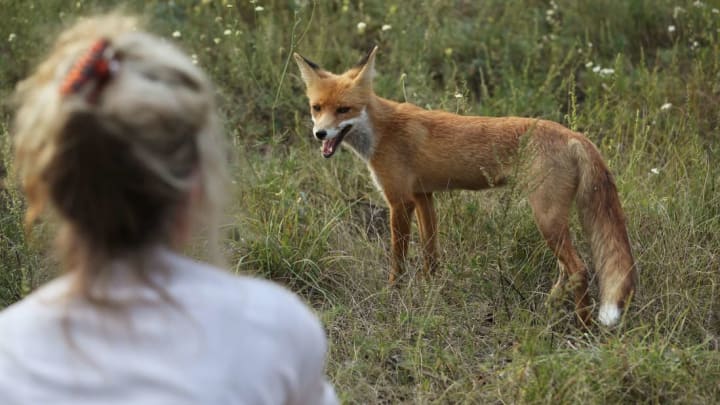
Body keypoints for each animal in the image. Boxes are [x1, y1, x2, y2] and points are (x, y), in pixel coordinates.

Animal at [292, 46, 636, 326]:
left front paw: (393, 295)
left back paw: (583, 326)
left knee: (579, 270)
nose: (320, 134)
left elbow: (398, 260)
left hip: (546, 218)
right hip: (551, 222)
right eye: (316, 108)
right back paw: (545, 312)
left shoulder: (399, 201)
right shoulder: (423, 196)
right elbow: (431, 256)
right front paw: (432, 292)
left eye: (344, 110)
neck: (382, 131)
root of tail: (573, 135)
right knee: (566, 271)